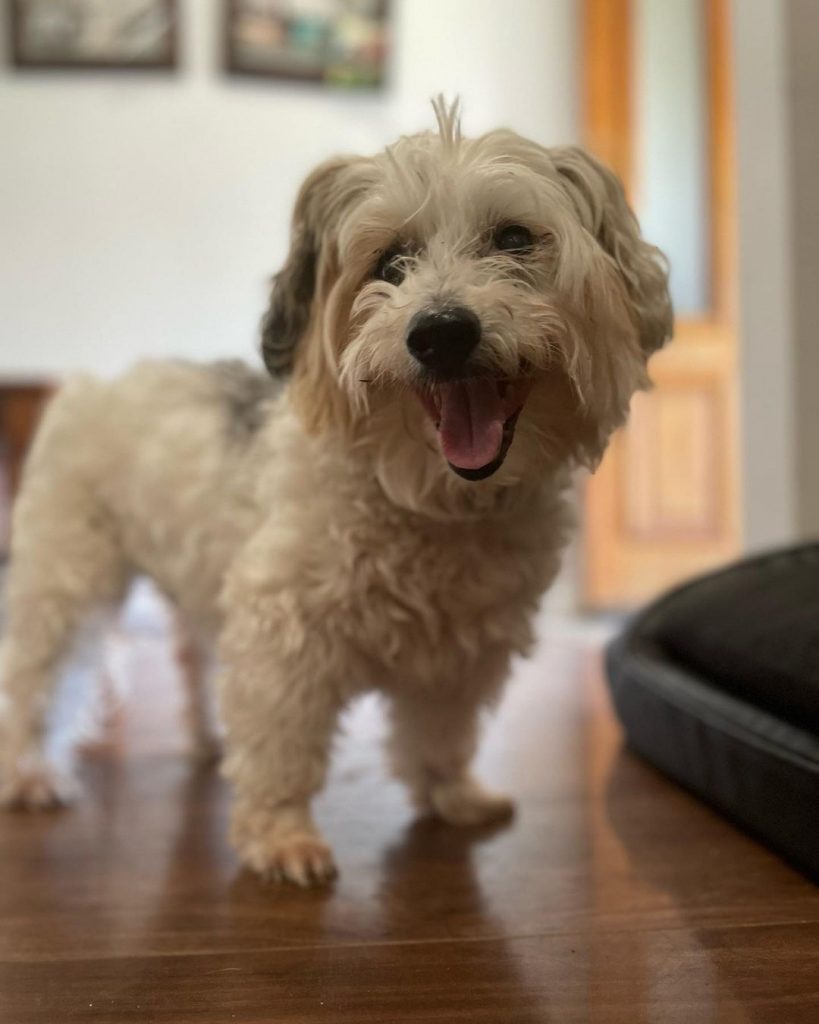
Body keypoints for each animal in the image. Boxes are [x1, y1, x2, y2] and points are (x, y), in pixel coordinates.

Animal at [0, 105, 671, 888]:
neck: (425, 501)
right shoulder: (283, 632)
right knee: (40, 675)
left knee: (195, 659)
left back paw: (207, 736)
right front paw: (280, 838)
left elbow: (440, 733)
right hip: (66, 577)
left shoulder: (462, 649)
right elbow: (281, 746)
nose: (441, 333)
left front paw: (451, 795)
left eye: (513, 238)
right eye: (390, 262)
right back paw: (29, 772)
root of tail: (96, 381)